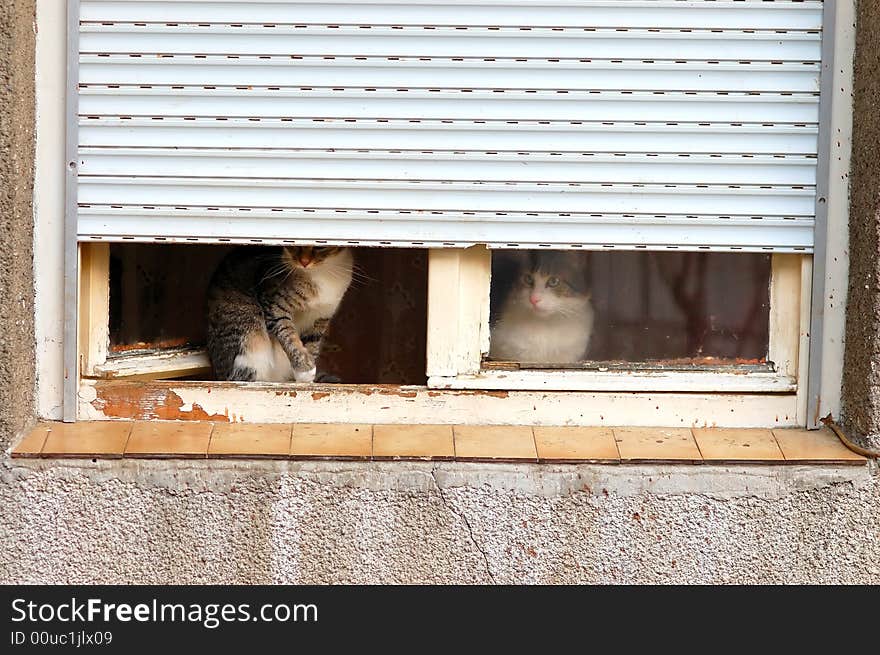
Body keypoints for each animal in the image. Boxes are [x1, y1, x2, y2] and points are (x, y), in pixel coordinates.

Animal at [206, 246, 354, 382]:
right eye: (294, 246)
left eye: (319, 247)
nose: (304, 262)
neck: (321, 272)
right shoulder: (274, 305)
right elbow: (288, 335)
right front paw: (304, 369)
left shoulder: (321, 317)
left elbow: (312, 344)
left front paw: (308, 380)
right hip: (249, 331)